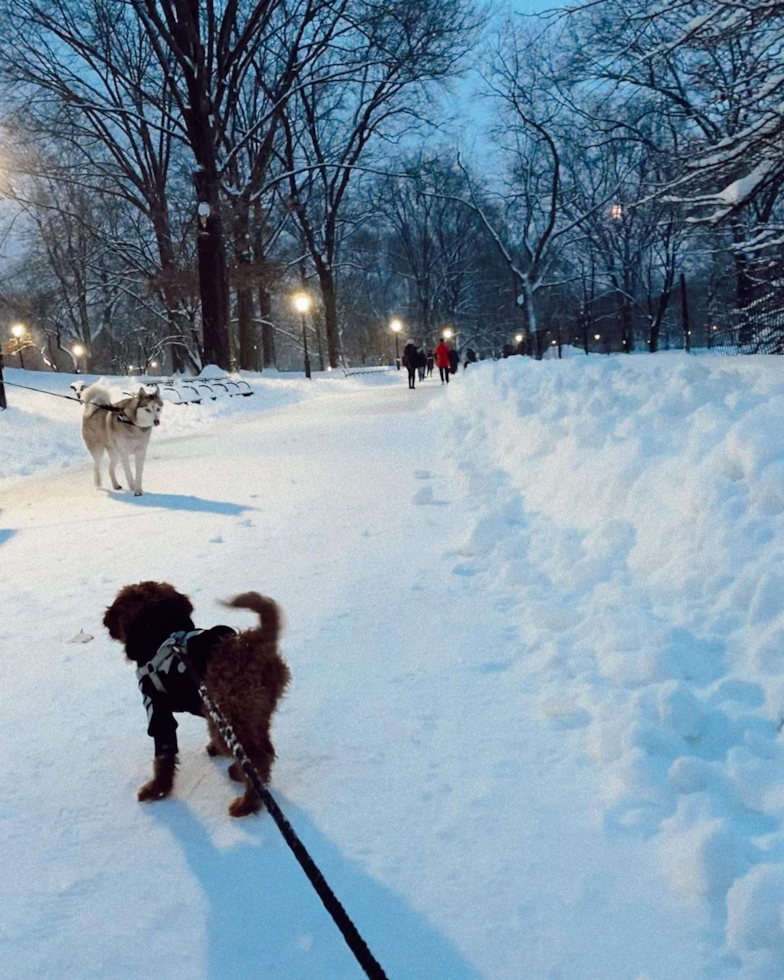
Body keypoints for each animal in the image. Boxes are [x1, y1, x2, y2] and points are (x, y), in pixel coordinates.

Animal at [102, 580, 290, 820]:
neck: (159, 630)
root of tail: (258, 643)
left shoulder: (157, 710)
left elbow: (163, 758)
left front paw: (156, 790)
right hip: (255, 714)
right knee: (264, 749)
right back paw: (239, 773)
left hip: (231, 714)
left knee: (257, 759)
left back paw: (246, 804)